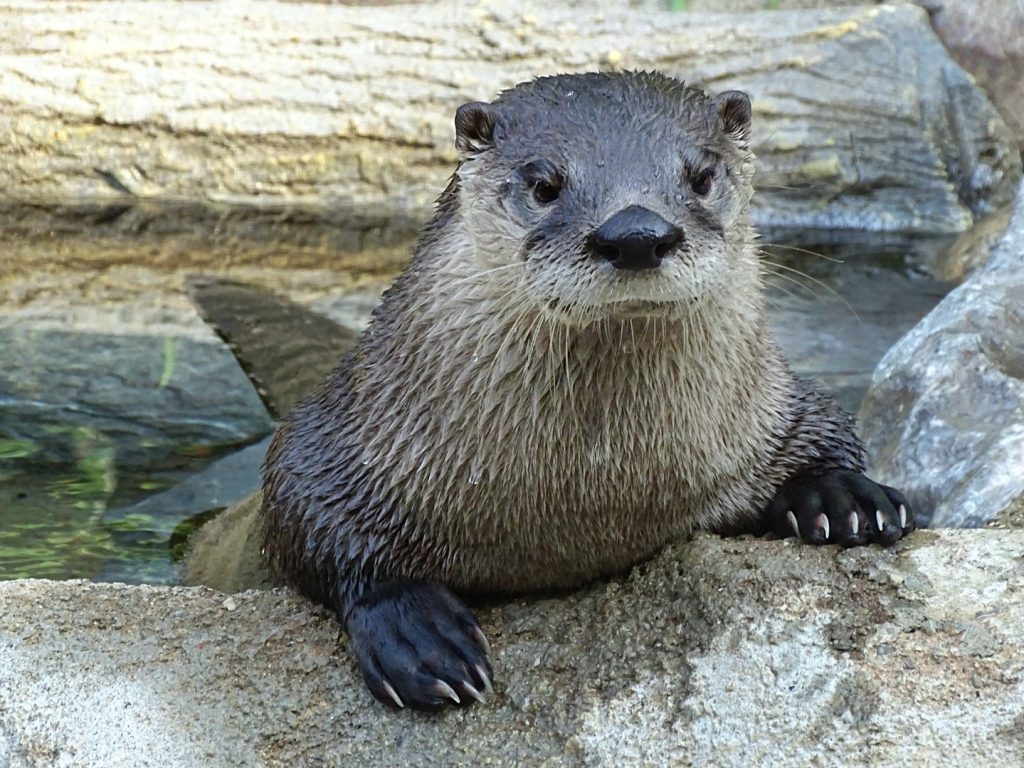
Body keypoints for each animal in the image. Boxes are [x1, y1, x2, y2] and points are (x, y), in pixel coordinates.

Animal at [260, 71, 914, 711]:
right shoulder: (333, 445)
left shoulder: (773, 411)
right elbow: (301, 508)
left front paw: (843, 496)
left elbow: (829, 425)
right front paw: (418, 637)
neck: (591, 496)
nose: (636, 233)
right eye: (544, 185)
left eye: (701, 177)